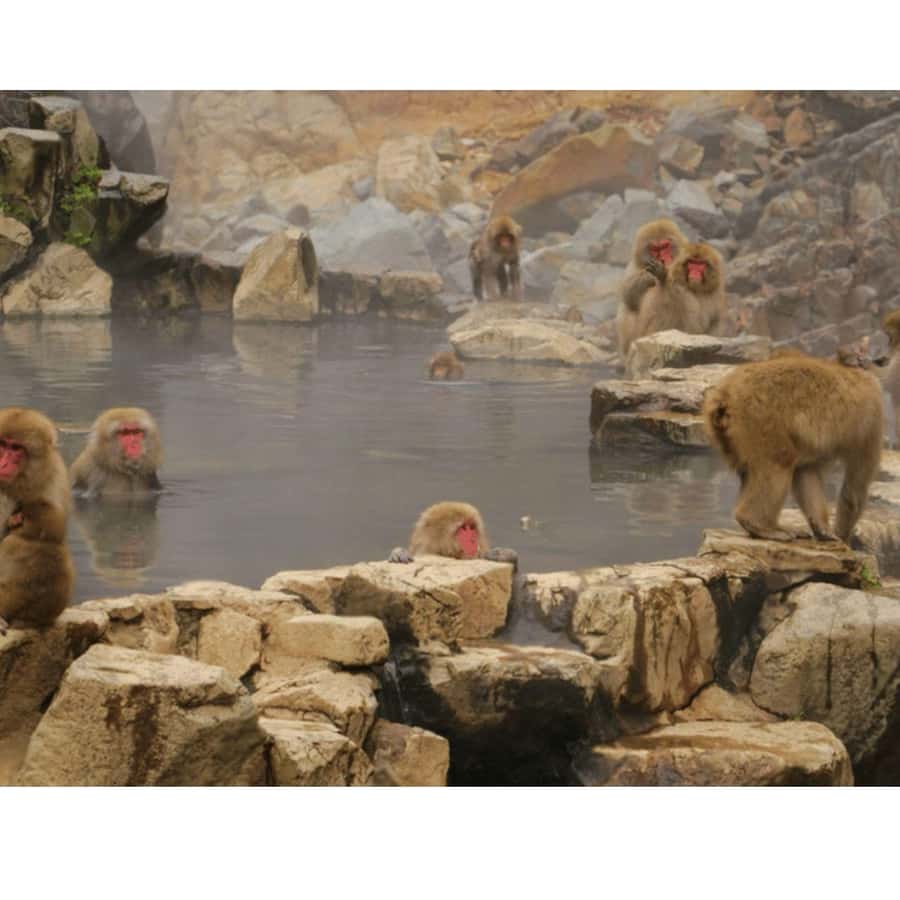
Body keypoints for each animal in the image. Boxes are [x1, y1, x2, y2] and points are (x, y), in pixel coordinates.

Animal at [616, 218, 688, 358]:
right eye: (655, 249)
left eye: (665, 246)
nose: (662, 259)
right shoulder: (634, 265)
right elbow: (629, 294)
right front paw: (653, 275)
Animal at [703, 354, 883, 543]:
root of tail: (723, 394)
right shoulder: (871, 418)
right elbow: (854, 489)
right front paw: (841, 535)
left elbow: (806, 473)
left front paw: (823, 529)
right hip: (761, 417)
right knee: (778, 463)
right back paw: (762, 526)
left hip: (730, 434)